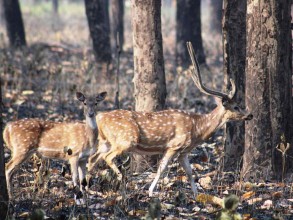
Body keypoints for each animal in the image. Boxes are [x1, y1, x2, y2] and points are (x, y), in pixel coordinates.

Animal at [88, 42, 252, 197]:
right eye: (236, 106)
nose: (249, 115)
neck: (197, 129)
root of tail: (100, 117)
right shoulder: (174, 145)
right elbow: (162, 169)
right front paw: (150, 192)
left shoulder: (184, 151)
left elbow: (190, 172)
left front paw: (197, 195)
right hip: (126, 139)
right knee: (107, 157)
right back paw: (121, 179)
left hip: (106, 141)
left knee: (92, 158)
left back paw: (87, 186)